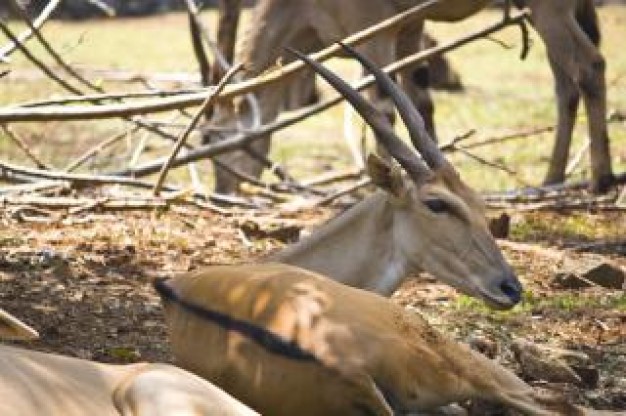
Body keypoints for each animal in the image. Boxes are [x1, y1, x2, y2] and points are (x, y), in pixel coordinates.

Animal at [204, 0, 608, 193]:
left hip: (548, 7)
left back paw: (600, 179)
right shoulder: (409, 26)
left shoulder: (373, 30)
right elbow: (419, 102)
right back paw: (552, 178)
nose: (225, 191)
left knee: (589, 66)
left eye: (213, 140)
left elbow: (383, 107)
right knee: (565, 85)